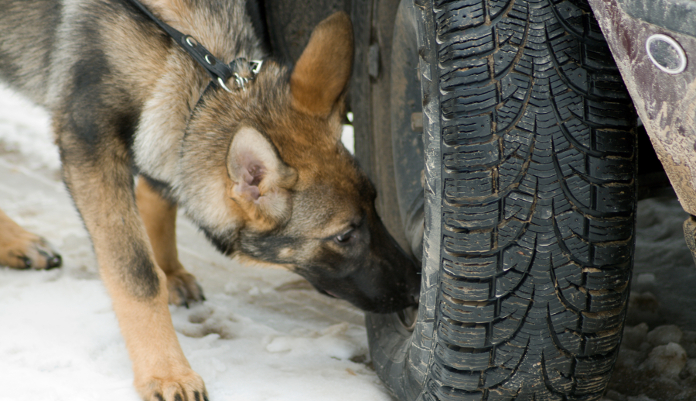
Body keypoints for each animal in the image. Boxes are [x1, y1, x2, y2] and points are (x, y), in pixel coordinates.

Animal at [0, 1, 418, 398]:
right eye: (344, 236)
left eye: (376, 206)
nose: (417, 285)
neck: (184, 53)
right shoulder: (90, 150)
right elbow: (137, 275)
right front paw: (166, 371)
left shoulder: (165, 136)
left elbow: (160, 196)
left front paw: (169, 270)